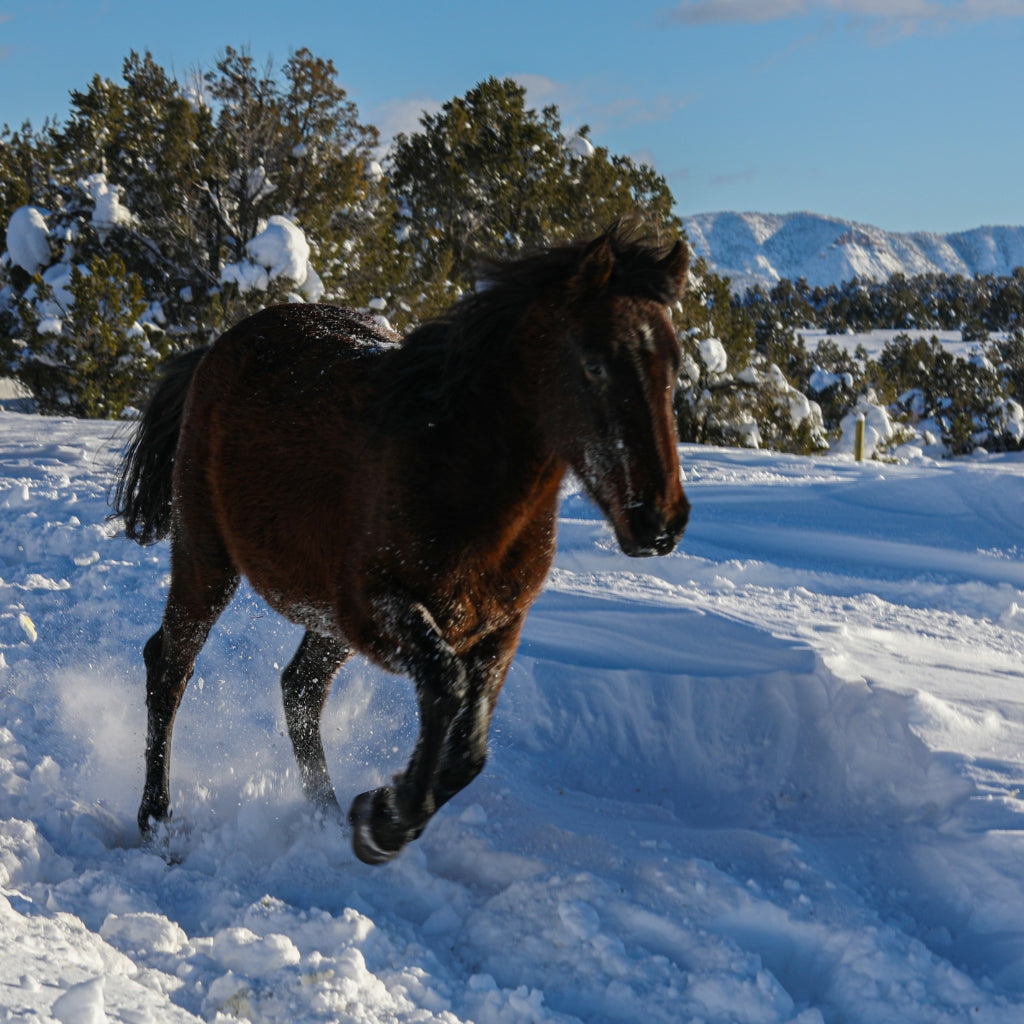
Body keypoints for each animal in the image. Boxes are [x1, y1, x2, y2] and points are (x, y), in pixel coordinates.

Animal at [114, 224, 688, 864]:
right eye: (593, 364)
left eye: (674, 366)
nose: (658, 522)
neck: (454, 473)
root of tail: (215, 349)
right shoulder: (380, 610)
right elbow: (444, 687)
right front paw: (385, 821)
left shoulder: (500, 628)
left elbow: (470, 750)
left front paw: (377, 812)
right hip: (208, 558)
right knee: (171, 666)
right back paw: (159, 821)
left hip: (324, 619)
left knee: (299, 690)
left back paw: (326, 816)